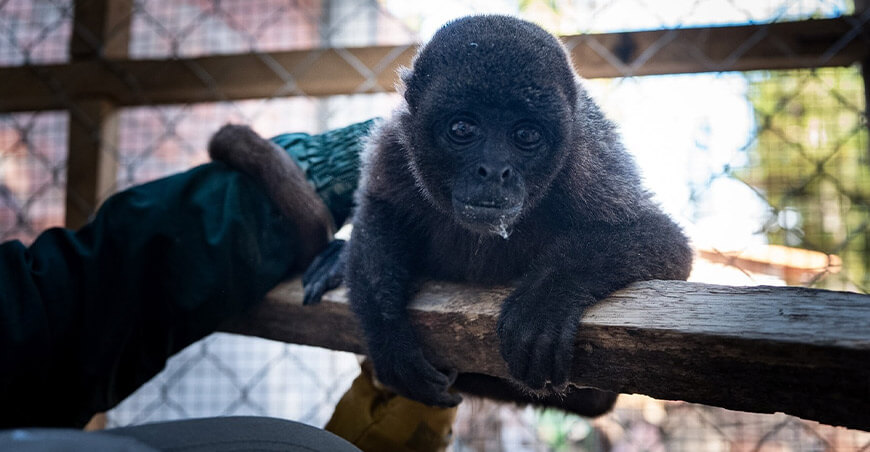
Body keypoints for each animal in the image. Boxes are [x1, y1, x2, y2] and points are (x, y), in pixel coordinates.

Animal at [212, 15, 693, 416]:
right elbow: (378, 207)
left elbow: (665, 241)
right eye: (463, 128)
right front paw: (389, 337)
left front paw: (545, 301)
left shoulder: (586, 161)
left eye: (526, 135)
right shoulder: (394, 145)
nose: (493, 170)